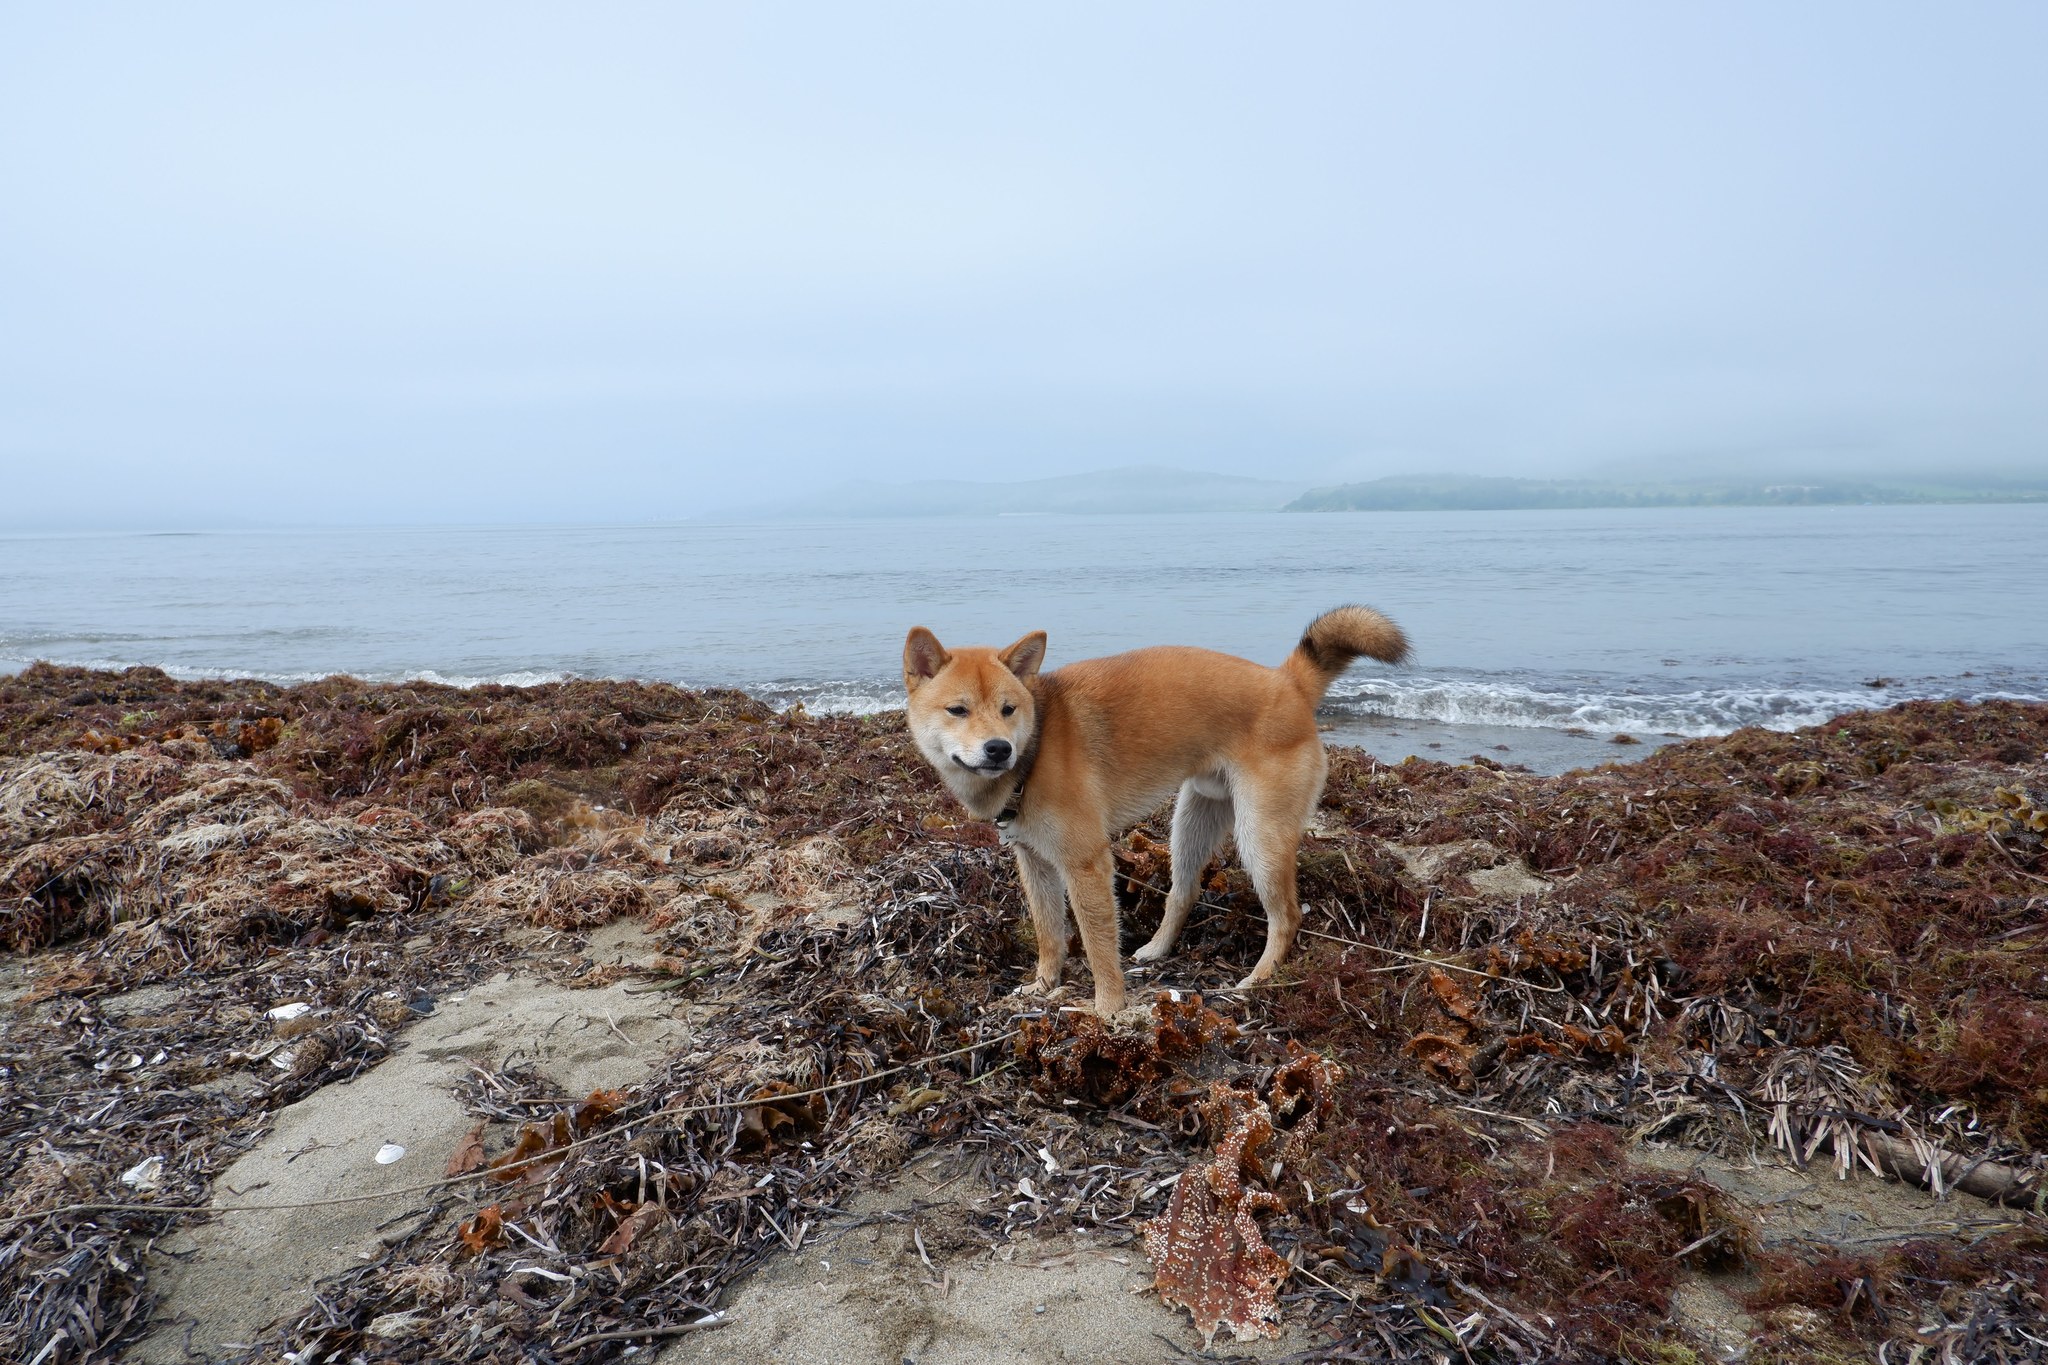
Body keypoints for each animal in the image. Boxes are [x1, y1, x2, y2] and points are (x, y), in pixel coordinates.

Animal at [901, 609, 1409, 1015]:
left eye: (1008, 709)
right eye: (958, 710)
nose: (998, 748)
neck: (1036, 748)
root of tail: (1288, 682)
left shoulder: (1086, 864)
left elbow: (1098, 945)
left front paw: (1108, 1008)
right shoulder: (1035, 861)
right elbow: (1049, 934)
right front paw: (1044, 985)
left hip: (1259, 838)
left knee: (1286, 916)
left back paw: (1258, 979)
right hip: (1191, 823)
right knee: (1183, 892)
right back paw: (1157, 949)